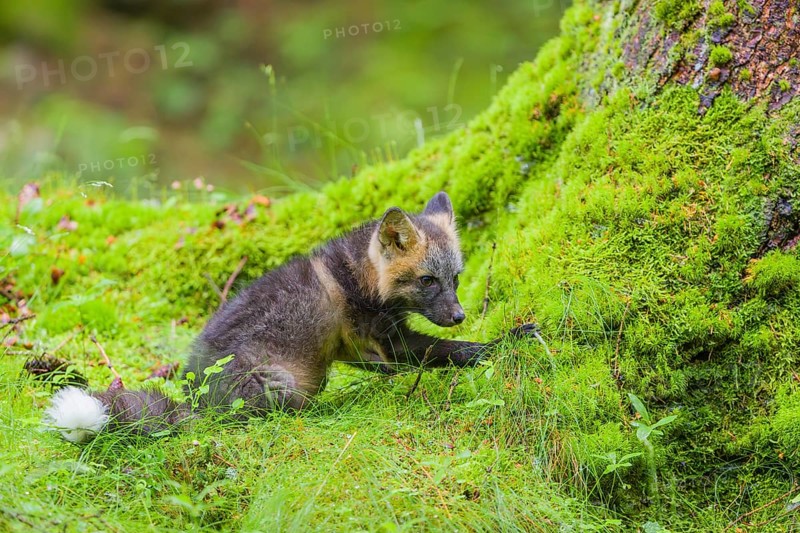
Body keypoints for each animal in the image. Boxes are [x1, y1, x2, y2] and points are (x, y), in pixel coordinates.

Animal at [45, 192, 536, 443]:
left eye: (456, 277)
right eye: (427, 281)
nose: (458, 314)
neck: (359, 277)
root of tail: (196, 396)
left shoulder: (364, 350)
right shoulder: (386, 345)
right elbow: (451, 352)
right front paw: (505, 342)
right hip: (285, 383)